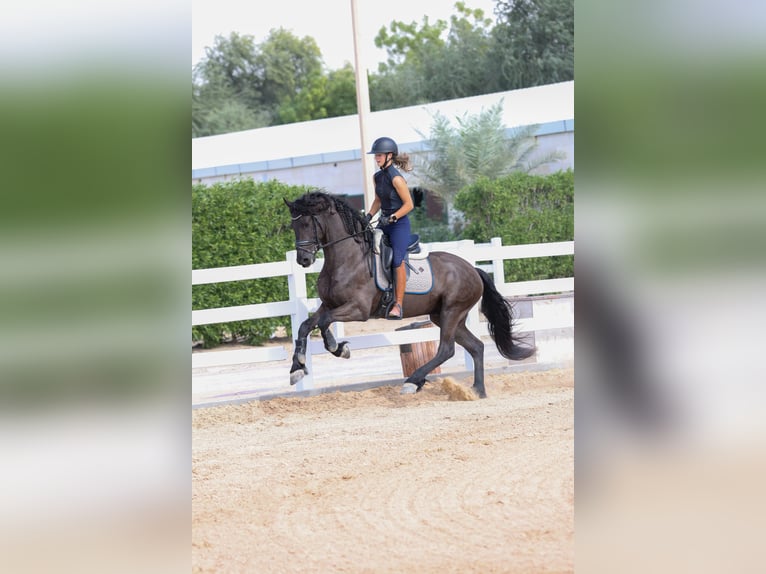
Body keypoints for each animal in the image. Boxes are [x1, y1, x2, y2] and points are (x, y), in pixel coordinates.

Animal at [284, 191, 535, 398]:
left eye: (306, 223)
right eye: (293, 227)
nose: (303, 260)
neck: (347, 258)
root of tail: (473, 269)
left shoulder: (358, 309)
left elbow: (323, 322)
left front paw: (338, 348)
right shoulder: (329, 304)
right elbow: (306, 325)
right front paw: (298, 368)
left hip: (451, 311)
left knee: (446, 349)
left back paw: (413, 382)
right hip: (444, 315)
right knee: (476, 347)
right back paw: (477, 390)